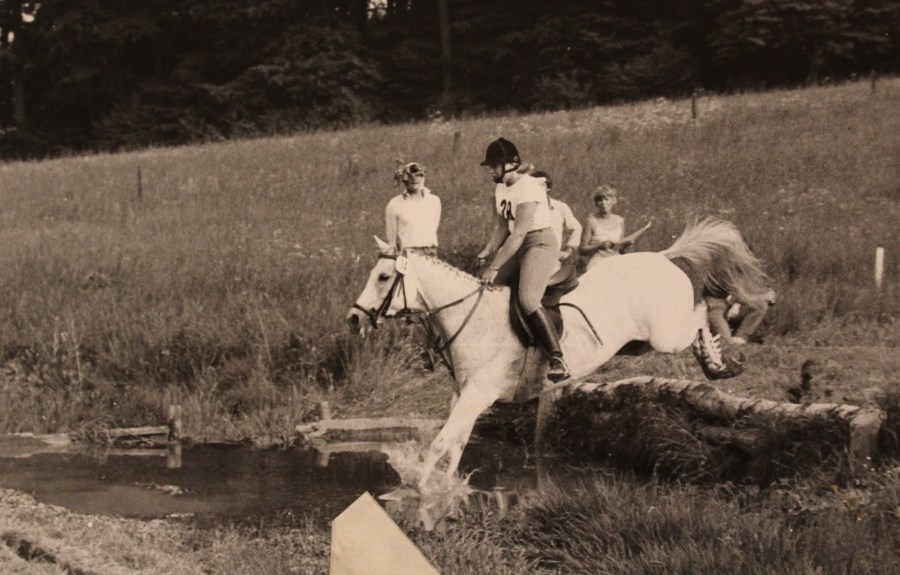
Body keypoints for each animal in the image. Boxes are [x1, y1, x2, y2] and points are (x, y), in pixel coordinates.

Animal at [346, 217, 770, 490]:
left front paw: (419, 495)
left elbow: (440, 444)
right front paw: (445, 491)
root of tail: (661, 257)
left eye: (383, 277)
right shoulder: (462, 397)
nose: (353, 319)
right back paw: (717, 365)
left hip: (665, 334)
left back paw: (720, 357)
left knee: (703, 311)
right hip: (641, 344)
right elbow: (454, 445)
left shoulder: (476, 397)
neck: (468, 315)